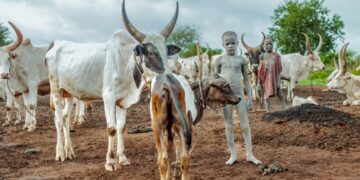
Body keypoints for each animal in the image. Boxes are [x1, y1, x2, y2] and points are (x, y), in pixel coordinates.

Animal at [44, 0, 181, 171]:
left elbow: (121, 127)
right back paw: (61, 153)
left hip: (69, 93)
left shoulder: (122, 101)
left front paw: (122, 158)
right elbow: (112, 128)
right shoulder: (108, 98)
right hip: (56, 90)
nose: (169, 78)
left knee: (65, 118)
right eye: (150, 53)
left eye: (166, 52)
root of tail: (55, 44)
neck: (125, 64)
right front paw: (110, 161)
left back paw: (70, 151)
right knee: (57, 120)